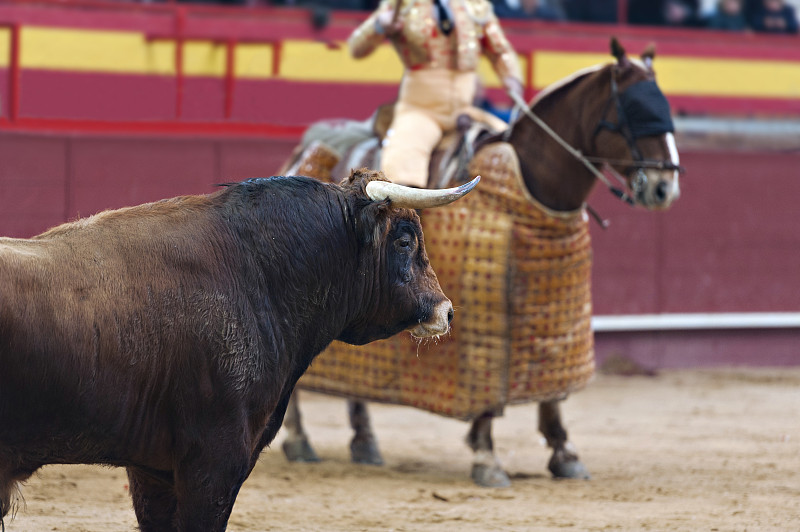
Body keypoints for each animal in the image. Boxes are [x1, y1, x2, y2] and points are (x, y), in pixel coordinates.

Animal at [276, 37, 680, 486]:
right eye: (635, 109)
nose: (664, 187)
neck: (535, 186)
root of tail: (305, 152)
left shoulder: (551, 313)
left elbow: (553, 392)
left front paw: (564, 452)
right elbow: (485, 385)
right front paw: (487, 457)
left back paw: (365, 443)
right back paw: (299, 441)